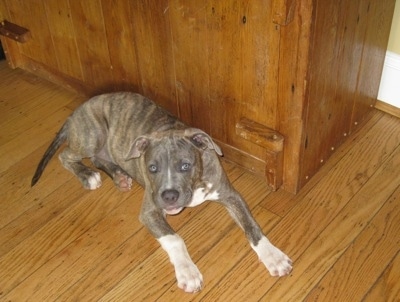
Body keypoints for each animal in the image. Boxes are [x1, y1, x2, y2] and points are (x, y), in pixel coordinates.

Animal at [31, 92, 292, 292]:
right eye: (152, 168)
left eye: (185, 166)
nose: (169, 197)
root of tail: (76, 112)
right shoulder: (150, 211)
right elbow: (175, 239)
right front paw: (187, 272)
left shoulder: (230, 195)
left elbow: (252, 226)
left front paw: (273, 256)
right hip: (92, 136)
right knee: (67, 156)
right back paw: (88, 175)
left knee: (97, 158)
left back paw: (119, 177)